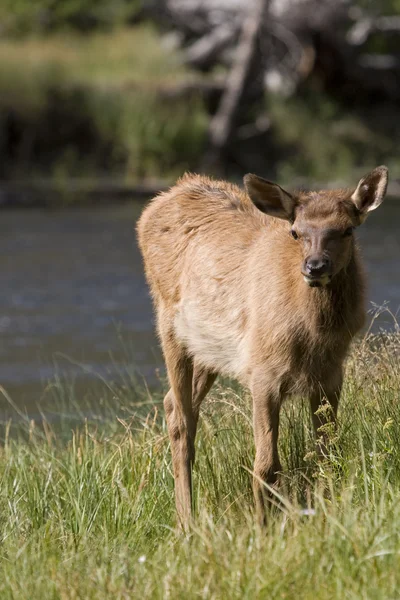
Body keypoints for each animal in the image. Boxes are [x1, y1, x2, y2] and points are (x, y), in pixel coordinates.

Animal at [137, 166, 388, 528]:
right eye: (296, 232)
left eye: (347, 230)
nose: (315, 266)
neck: (314, 334)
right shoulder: (263, 373)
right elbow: (266, 466)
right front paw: (263, 529)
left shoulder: (331, 376)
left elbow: (327, 453)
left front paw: (324, 512)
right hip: (169, 325)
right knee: (181, 420)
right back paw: (187, 521)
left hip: (207, 350)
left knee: (174, 404)